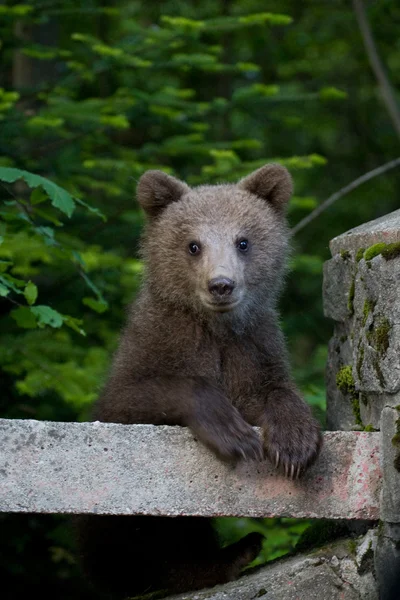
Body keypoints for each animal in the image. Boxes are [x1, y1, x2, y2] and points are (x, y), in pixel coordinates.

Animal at [76, 162, 324, 596]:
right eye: (193, 245)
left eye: (243, 241)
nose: (221, 284)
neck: (215, 329)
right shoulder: (158, 346)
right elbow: (135, 397)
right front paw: (233, 433)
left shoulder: (252, 348)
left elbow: (273, 391)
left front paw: (295, 443)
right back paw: (224, 557)